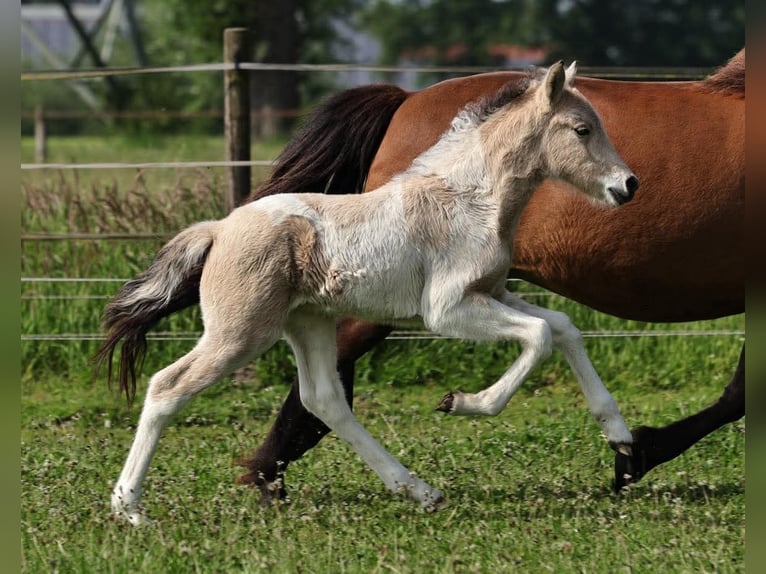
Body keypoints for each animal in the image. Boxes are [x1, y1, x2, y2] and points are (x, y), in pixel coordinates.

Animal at [98, 62, 639, 523]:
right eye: (582, 129)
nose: (628, 185)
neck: (470, 200)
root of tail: (219, 229)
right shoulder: (448, 310)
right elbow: (540, 335)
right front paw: (462, 403)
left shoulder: (492, 292)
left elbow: (563, 328)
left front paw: (621, 438)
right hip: (240, 333)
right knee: (167, 387)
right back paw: (130, 508)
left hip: (308, 322)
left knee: (324, 399)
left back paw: (420, 491)